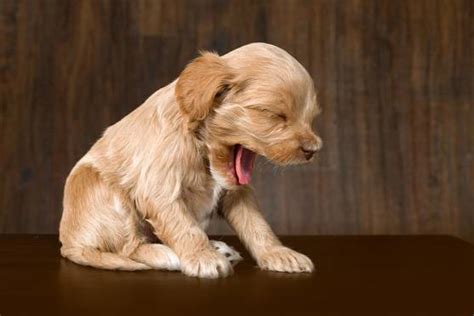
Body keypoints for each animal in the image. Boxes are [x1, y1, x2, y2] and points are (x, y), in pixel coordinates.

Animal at [58, 42, 322, 278]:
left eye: (310, 118)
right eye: (274, 115)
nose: (315, 149)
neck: (201, 149)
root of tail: (68, 244)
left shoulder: (237, 192)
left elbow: (256, 224)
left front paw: (278, 253)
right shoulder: (159, 190)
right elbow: (183, 226)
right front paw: (203, 258)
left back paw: (218, 248)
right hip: (101, 190)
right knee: (128, 247)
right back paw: (168, 255)